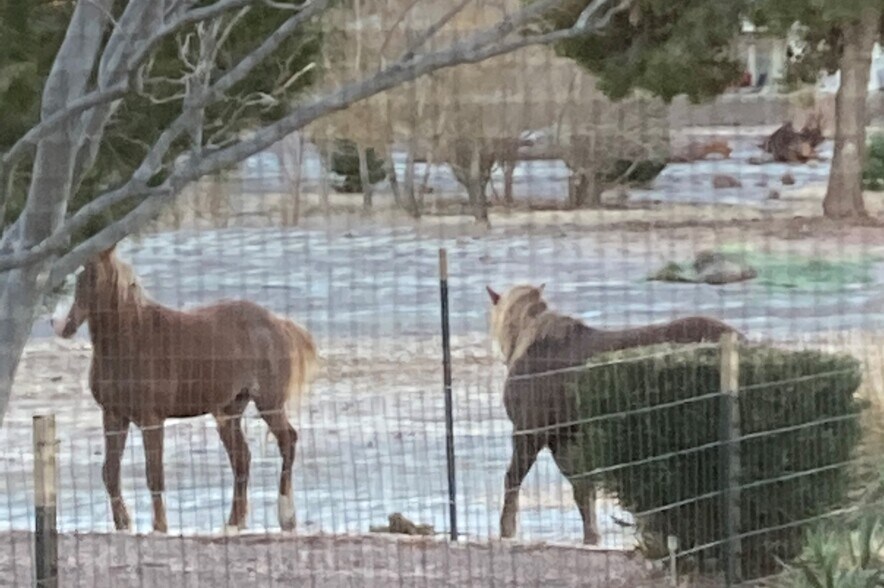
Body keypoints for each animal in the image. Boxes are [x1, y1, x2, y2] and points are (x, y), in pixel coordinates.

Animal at [51, 246, 318, 534]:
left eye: (92, 275)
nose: (62, 325)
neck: (130, 342)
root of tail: (278, 322)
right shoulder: (113, 416)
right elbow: (110, 471)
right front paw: (123, 525)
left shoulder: (151, 420)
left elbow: (154, 474)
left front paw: (159, 527)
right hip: (228, 412)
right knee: (242, 459)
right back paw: (233, 523)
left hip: (269, 404)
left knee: (287, 441)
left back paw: (286, 517)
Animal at [485, 283, 744, 544]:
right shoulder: (563, 439)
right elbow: (583, 490)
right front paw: (592, 537)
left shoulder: (529, 432)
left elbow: (513, 480)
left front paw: (506, 531)